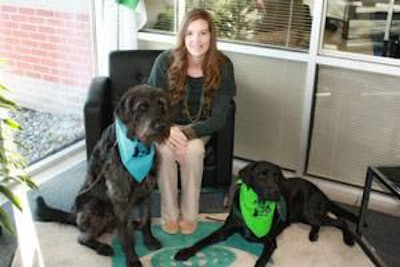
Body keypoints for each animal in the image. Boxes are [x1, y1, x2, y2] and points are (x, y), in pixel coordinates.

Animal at [34, 85, 170, 267]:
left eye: (161, 105)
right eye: (142, 107)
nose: (162, 126)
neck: (138, 146)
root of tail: (74, 216)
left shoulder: (147, 191)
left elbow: (147, 219)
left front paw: (149, 240)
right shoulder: (120, 198)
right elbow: (126, 236)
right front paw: (132, 259)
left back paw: (134, 224)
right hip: (96, 206)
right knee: (83, 238)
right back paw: (102, 246)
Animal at [175, 161, 356, 267]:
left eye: (277, 177)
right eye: (262, 175)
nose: (276, 192)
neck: (256, 206)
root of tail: (322, 192)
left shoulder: (270, 241)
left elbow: (261, 260)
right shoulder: (225, 230)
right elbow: (204, 240)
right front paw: (185, 252)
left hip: (308, 211)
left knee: (340, 220)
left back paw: (348, 239)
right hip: (304, 216)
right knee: (320, 222)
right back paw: (313, 235)